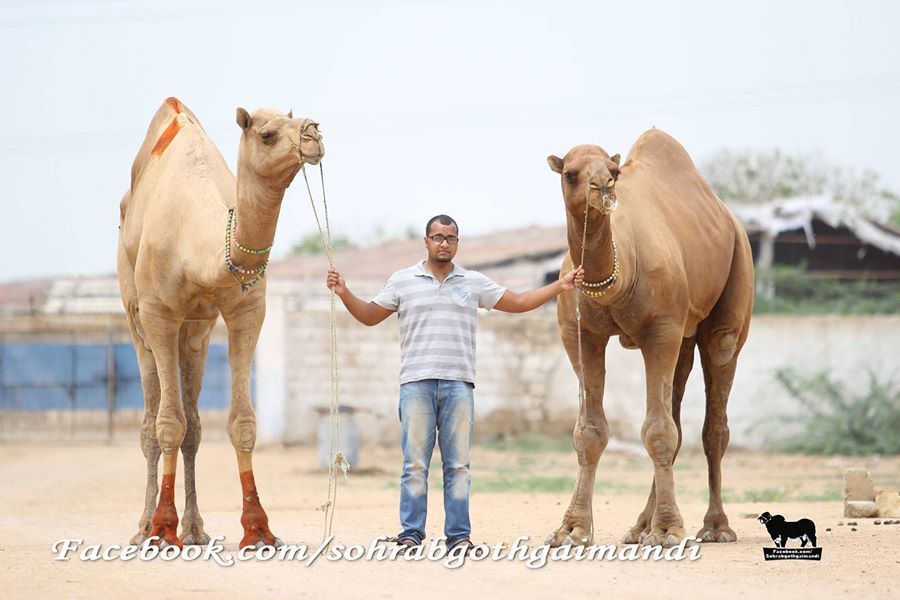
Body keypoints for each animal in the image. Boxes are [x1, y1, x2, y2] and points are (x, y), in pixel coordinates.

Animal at [118, 95, 324, 548]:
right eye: (268, 134)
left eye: (294, 121)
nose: (314, 132)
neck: (197, 245)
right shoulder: (158, 313)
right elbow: (167, 425)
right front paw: (162, 529)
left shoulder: (247, 311)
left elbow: (241, 422)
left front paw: (259, 529)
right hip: (136, 318)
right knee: (151, 422)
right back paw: (144, 527)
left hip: (197, 330)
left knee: (194, 425)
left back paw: (195, 528)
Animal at [544, 130, 756, 548]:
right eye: (571, 173)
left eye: (613, 173)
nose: (603, 188)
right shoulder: (579, 334)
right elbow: (590, 431)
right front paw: (572, 529)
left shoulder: (661, 329)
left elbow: (658, 431)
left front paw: (669, 530)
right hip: (683, 337)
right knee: (675, 412)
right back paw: (640, 526)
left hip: (737, 276)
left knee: (714, 413)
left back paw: (715, 527)